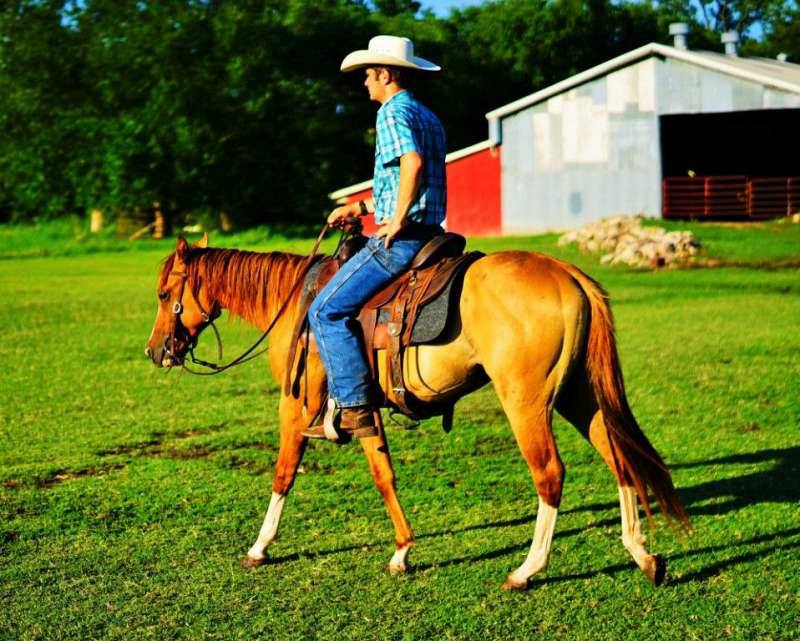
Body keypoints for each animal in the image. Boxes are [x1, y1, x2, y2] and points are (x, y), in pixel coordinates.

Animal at [145, 234, 689, 590]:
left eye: (165, 294)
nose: (155, 351)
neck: (296, 302)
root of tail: (568, 274)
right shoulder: (364, 409)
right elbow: (384, 474)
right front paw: (403, 551)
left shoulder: (294, 406)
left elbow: (283, 475)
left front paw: (260, 547)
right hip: (581, 395)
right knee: (620, 459)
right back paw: (642, 555)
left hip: (527, 401)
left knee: (550, 474)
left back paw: (526, 570)